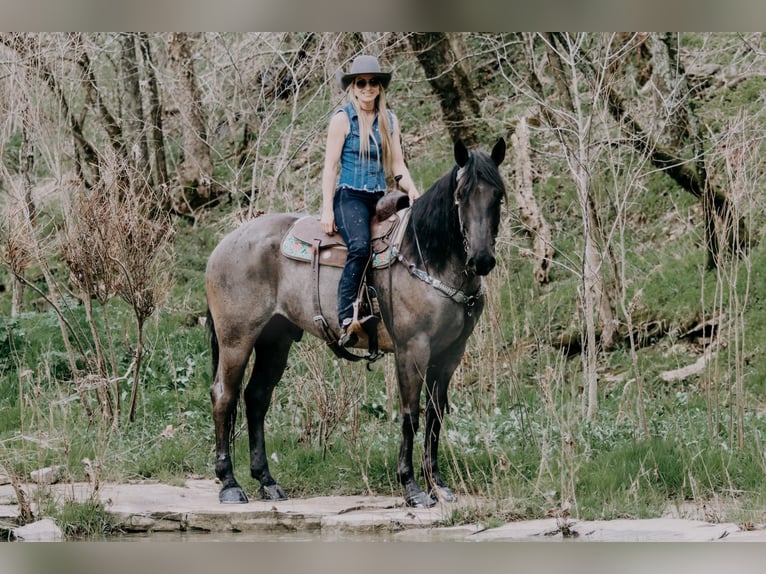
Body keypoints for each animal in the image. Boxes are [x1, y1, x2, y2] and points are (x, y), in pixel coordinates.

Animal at [204, 138, 508, 508]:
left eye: (498, 194)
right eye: (461, 194)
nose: (482, 259)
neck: (426, 257)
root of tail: (224, 244)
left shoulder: (450, 354)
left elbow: (435, 415)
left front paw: (437, 483)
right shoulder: (413, 349)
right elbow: (410, 414)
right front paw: (412, 487)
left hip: (274, 340)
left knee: (256, 397)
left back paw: (266, 480)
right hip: (236, 339)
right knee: (224, 396)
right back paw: (229, 484)